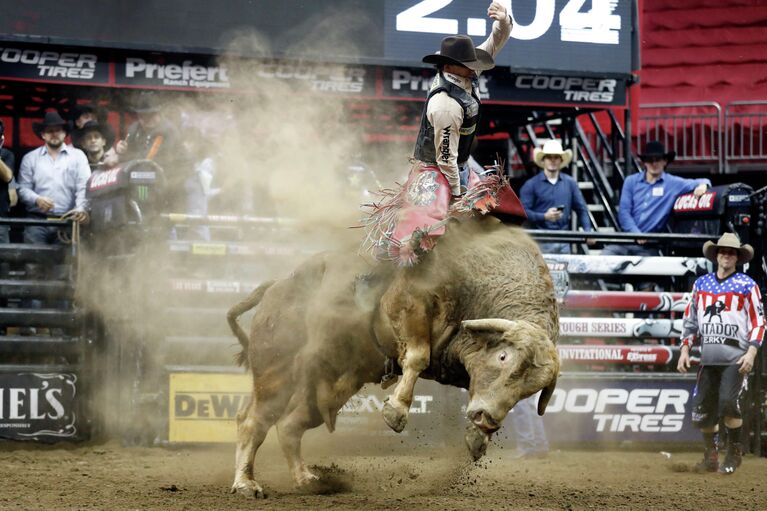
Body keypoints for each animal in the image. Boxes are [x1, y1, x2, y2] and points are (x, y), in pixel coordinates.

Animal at [225, 218, 560, 498]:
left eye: (530, 390)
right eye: (503, 357)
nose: (487, 419)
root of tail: (276, 287)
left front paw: (478, 438)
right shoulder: (408, 304)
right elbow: (417, 356)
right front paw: (396, 412)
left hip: (324, 390)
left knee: (289, 426)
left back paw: (307, 479)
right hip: (275, 370)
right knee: (252, 422)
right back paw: (246, 483)